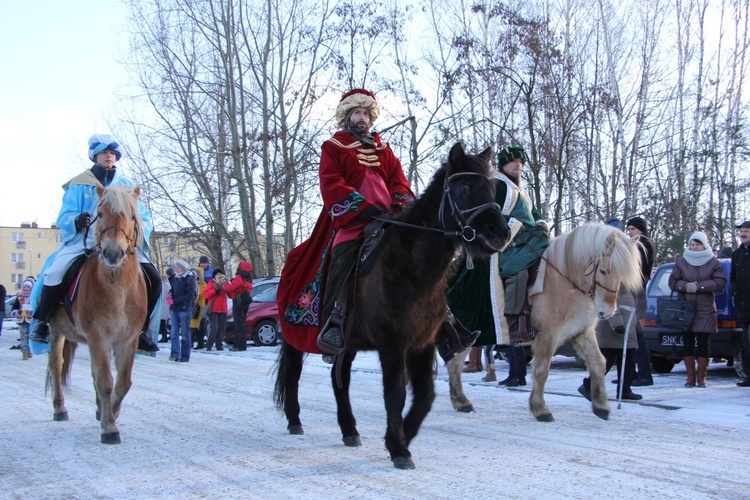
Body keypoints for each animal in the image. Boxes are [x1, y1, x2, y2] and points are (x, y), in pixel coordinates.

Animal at [46, 186, 148, 444]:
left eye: (132, 216)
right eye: (99, 214)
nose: (113, 253)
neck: (118, 287)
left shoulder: (127, 339)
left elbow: (122, 383)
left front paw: (110, 411)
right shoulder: (99, 337)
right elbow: (105, 382)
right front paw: (109, 428)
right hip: (56, 331)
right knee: (57, 365)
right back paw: (59, 408)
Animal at [276, 143, 512, 470]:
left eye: (490, 188)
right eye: (463, 187)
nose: (500, 233)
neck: (412, 269)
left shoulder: (423, 343)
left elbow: (424, 396)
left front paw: (401, 438)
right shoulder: (392, 344)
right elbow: (395, 395)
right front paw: (398, 447)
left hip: (348, 344)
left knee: (340, 381)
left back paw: (349, 430)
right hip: (295, 337)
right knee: (293, 372)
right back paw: (294, 419)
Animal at [450, 224, 644, 422]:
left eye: (621, 276)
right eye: (604, 271)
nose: (607, 311)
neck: (564, 280)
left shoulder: (581, 332)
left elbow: (598, 362)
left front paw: (601, 406)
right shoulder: (547, 335)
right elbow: (542, 370)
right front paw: (540, 409)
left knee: (455, 362)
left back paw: (461, 402)